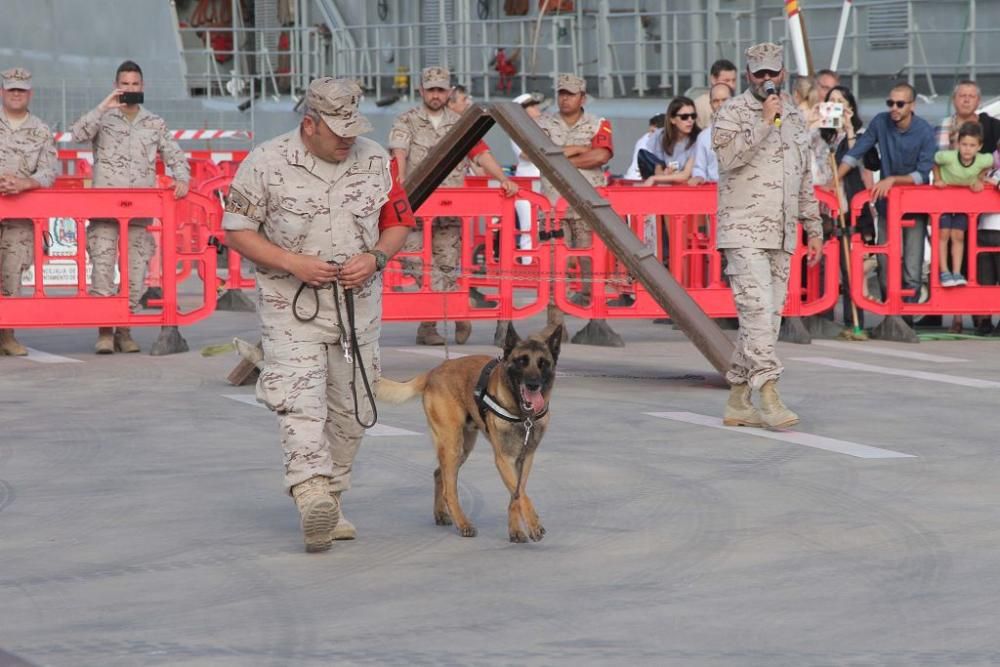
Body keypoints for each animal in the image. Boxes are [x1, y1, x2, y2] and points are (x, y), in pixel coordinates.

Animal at [376, 324, 564, 544]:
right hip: (452, 445)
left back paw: (441, 514)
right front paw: (534, 525)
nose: (533, 384)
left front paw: (516, 531)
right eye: (521, 361)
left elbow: (517, 494)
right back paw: (463, 523)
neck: (522, 415)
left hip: (462, 448)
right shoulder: (503, 459)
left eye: (543, 364)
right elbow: (521, 495)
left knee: (439, 474)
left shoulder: (525, 459)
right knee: (450, 490)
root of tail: (433, 371)